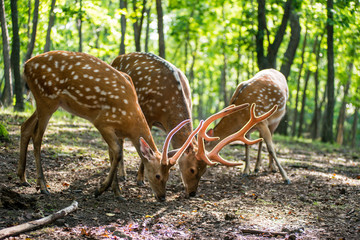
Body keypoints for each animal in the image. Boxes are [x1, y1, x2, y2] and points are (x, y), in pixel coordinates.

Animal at [17, 51, 205, 202]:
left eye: (169, 175)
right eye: (158, 175)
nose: (162, 197)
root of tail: (25, 66)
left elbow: (115, 154)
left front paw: (117, 192)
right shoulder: (102, 122)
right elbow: (117, 152)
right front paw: (102, 189)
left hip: (46, 102)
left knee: (25, 126)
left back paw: (22, 178)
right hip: (46, 98)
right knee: (37, 137)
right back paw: (43, 186)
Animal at [109, 52, 276, 197]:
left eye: (204, 171)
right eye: (192, 170)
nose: (192, 193)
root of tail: (117, 58)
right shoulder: (147, 115)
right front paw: (140, 180)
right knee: (120, 139)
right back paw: (123, 175)